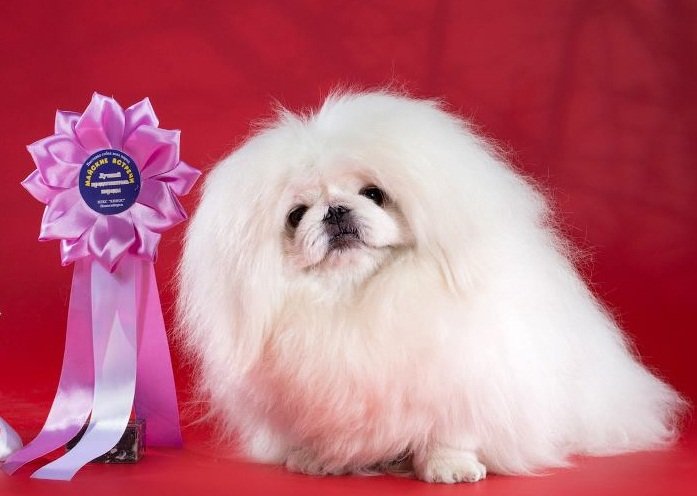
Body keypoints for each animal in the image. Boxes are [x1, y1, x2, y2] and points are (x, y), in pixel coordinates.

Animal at [177, 91, 684, 482]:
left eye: (373, 194)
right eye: (297, 215)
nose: (335, 211)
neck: (354, 298)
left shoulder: (460, 376)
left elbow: (450, 430)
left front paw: (450, 468)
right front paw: (319, 459)